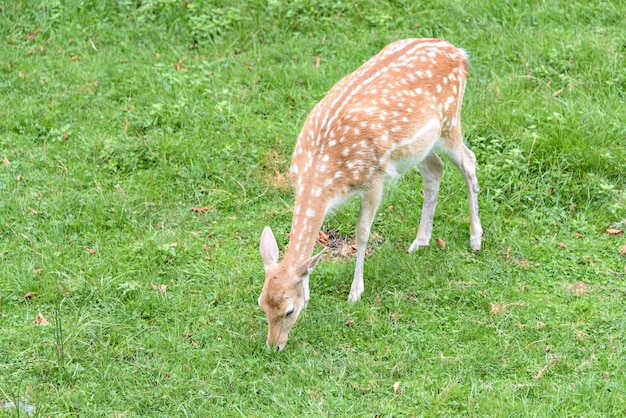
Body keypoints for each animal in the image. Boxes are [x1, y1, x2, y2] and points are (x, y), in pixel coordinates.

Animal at [256, 39, 480, 352]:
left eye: (288, 311)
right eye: (261, 304)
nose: (274, 346)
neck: (322, 176)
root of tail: (459, 53)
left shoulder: (374, 178)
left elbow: (362, 233)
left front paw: (355, 293)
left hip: (450, 121)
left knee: (469, 162)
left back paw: (475, 238)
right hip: (420, 145)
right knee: (435, 169)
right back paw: (420, 241)